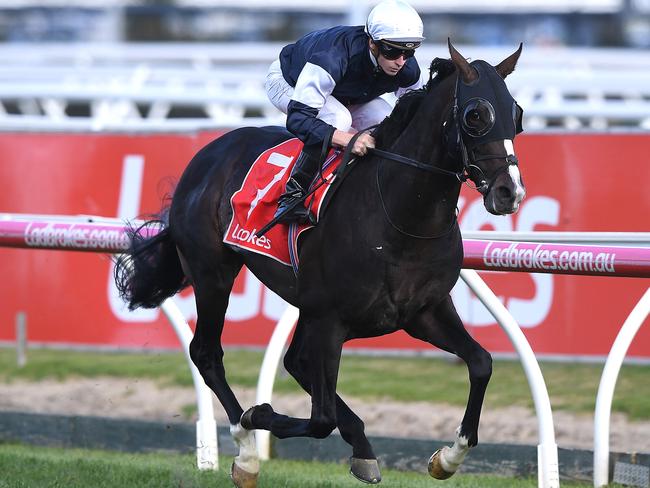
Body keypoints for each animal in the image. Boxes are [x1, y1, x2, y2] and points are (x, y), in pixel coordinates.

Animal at [114, 41, 524, 484]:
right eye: (476, 115)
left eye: (517, 113)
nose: (510, 192)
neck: (401, 219)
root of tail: (207, 153)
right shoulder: (331, 319)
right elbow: (320, 419)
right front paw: (257, 416)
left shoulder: (423, 312)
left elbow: (481, 363)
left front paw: (447, 458)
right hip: (213, 273)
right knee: (208, 353)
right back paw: (247, 451)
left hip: (300, 302)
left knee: (294, 362)